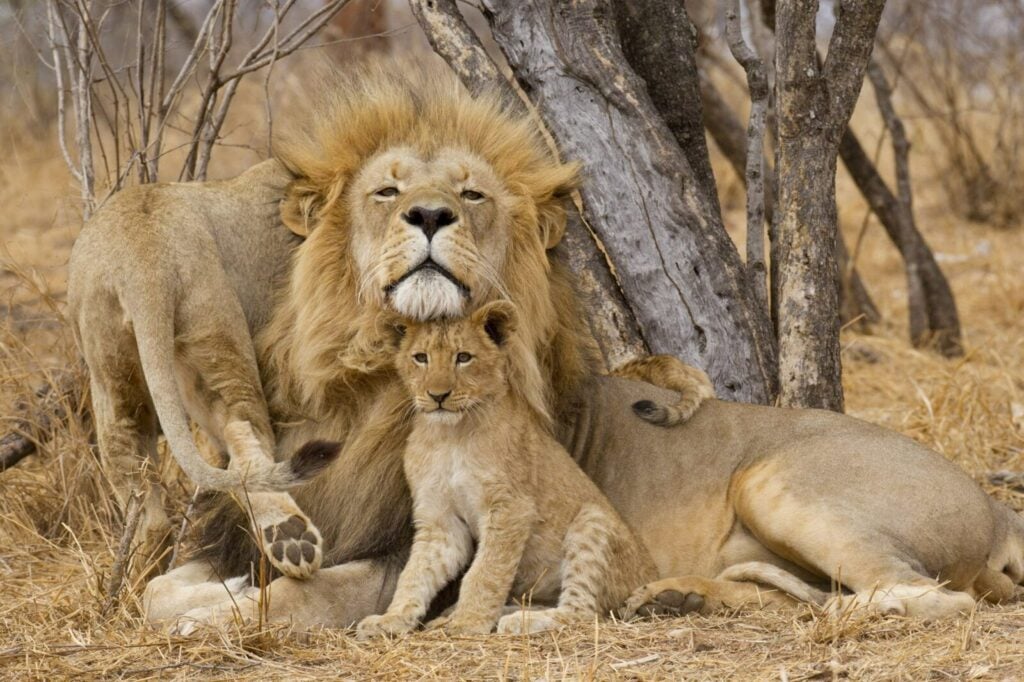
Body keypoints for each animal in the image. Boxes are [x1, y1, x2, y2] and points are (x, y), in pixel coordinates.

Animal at [356, 302, 657, 637]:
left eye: (463, 357)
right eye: (420, 358)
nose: (438, 396)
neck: (450, 435)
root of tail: (651, 576)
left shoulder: (511, 507)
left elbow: (486, 570)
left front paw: (469, 622)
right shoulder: (440, 520)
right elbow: (415, 574)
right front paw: (391, 619)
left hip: (594, 521)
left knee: (583, 612)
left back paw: (516, 621)